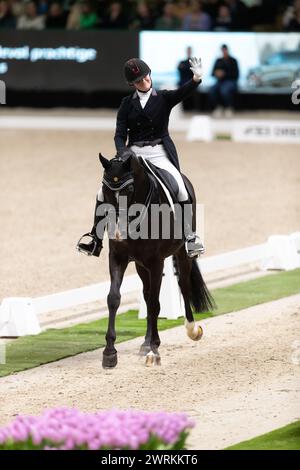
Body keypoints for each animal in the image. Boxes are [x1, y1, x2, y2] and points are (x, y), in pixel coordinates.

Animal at [98, 153, 213, 368]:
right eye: (104, 189)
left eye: (129, 190)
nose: (118, 233)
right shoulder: (118, 258)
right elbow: (114, 298)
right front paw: (109, 353)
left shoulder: (156, 262)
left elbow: (154, 304)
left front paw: (154, 350)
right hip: (140, 265)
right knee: (147, 293)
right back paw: (145, 342)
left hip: (181, 254)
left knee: (183, 286)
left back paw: (191, 330)